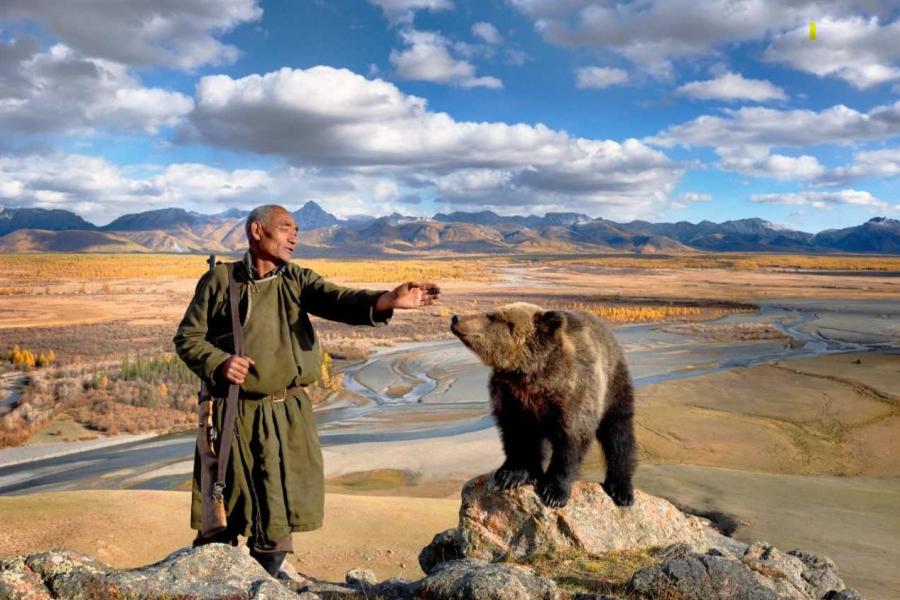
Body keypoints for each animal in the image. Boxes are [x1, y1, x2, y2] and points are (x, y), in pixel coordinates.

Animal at [448, 304, 632, 506]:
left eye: (492, 316)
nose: (456, 318)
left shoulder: (573, 394)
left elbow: (571, 440)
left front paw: (554, 492)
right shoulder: (511, 396)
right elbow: (515, 434)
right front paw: (511, 474)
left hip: (613, 385)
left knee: (618, 434)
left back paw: (621, 489)